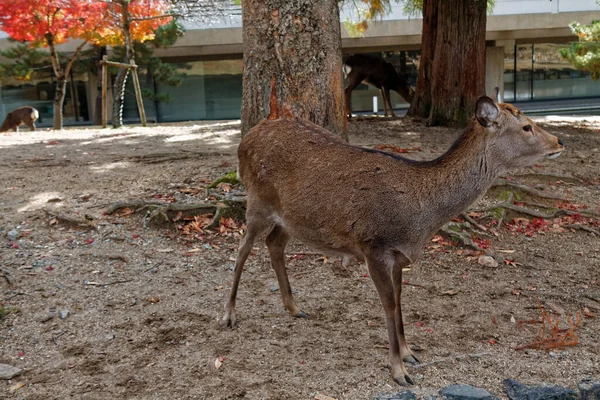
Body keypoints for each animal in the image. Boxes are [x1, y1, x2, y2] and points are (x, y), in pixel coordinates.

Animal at [220, 95, 564, 386]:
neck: (421, 219)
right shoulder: (374, 247)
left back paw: (294, 307)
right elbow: (388, 305)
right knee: (241, 251)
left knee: (274, 243)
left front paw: (410, 354)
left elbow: (400, 301)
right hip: (257, 200)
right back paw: (228, 315)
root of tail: (248, 137)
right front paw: (398, 372)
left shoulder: (400, 255)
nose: (560, 141)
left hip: (291, 217)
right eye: (526, 127)